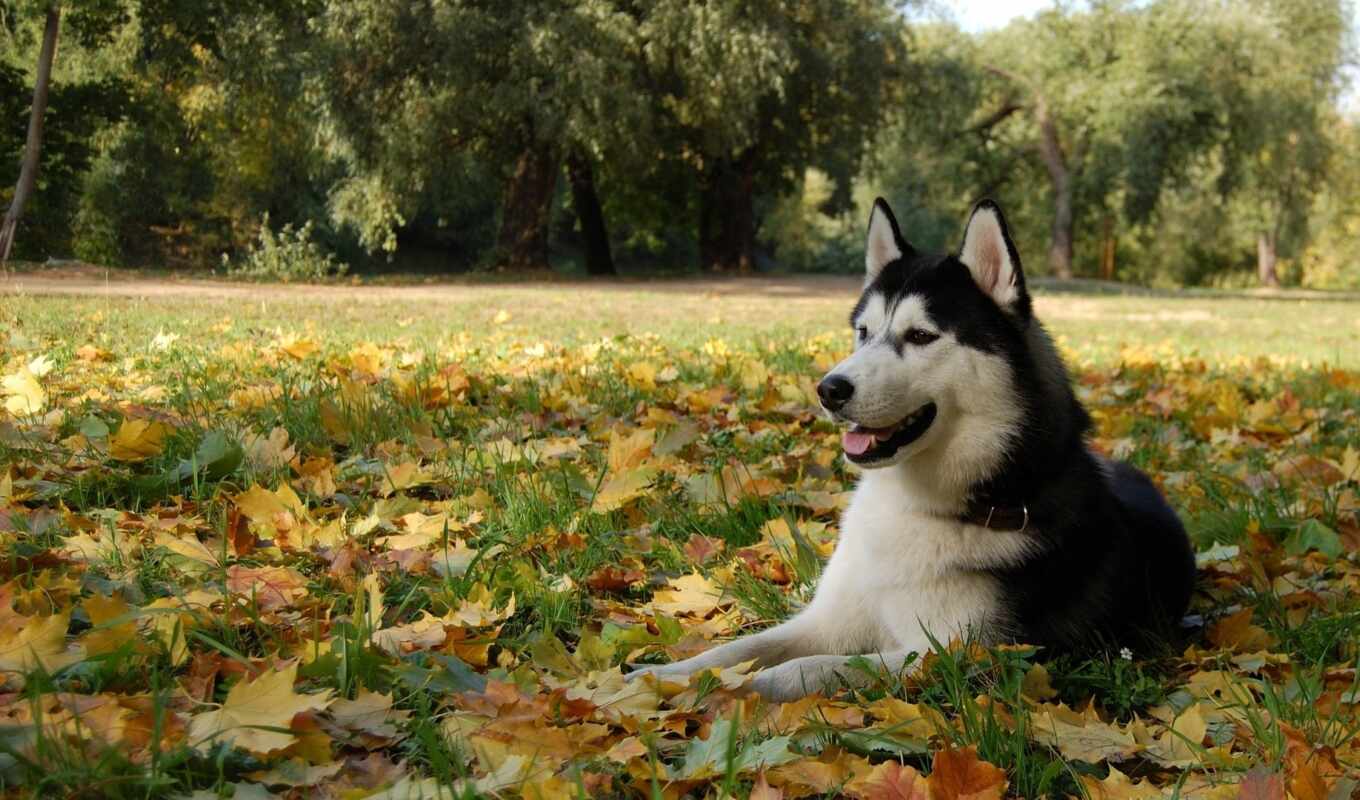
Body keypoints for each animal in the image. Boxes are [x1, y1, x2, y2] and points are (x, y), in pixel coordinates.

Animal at [631, 198, 1196, 702]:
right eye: (863, 332)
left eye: (921, 335)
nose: (828, 389)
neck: (919, 507)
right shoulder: (830, 619)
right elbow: (734, 650)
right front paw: (659, 676)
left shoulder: (962, 653)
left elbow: (818, 667)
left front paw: (751, 686)